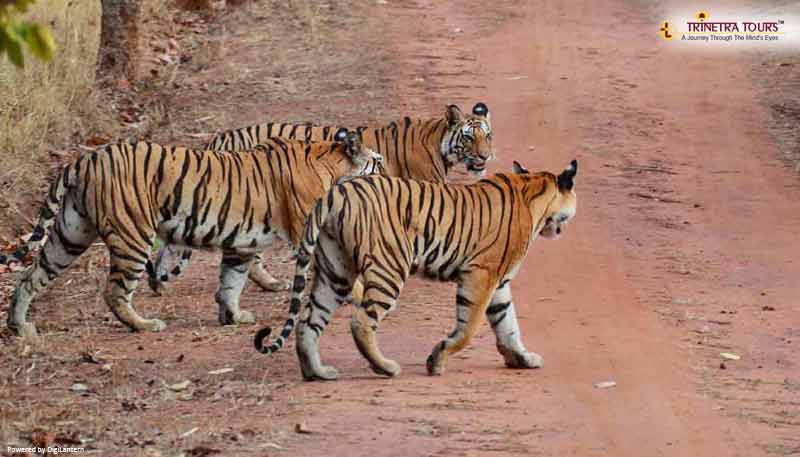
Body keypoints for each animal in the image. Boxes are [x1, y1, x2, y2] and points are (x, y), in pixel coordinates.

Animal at [2, 130, 384, 334]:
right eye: (377, 162)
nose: (388, 173)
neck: (329, 162)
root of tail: (85, 159)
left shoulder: (241, 245)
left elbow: (231, 282)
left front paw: (234, 316)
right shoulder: (308, 234)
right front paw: (362, 295)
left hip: (71, 234)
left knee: (29, 276)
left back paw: (20, 327)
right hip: (132, 236)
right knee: (114, 291)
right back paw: (145, 325)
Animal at [146, 102, 490, 296]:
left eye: (488, 135)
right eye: (469, 137)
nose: (486, 156)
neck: (438, 140)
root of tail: (219, 138)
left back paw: (158, 284)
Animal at [253, 159, 580, 380]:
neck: (532, 191)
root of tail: (336, 192)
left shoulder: (498, 283)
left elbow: (508, 323)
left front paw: (522, 358)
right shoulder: (481, 274)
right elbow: (469, 328)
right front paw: (437, 360)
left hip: (336, 271)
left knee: (308, 321)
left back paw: (317, 372)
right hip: (389, 267)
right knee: (361, 321)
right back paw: (385, 367)